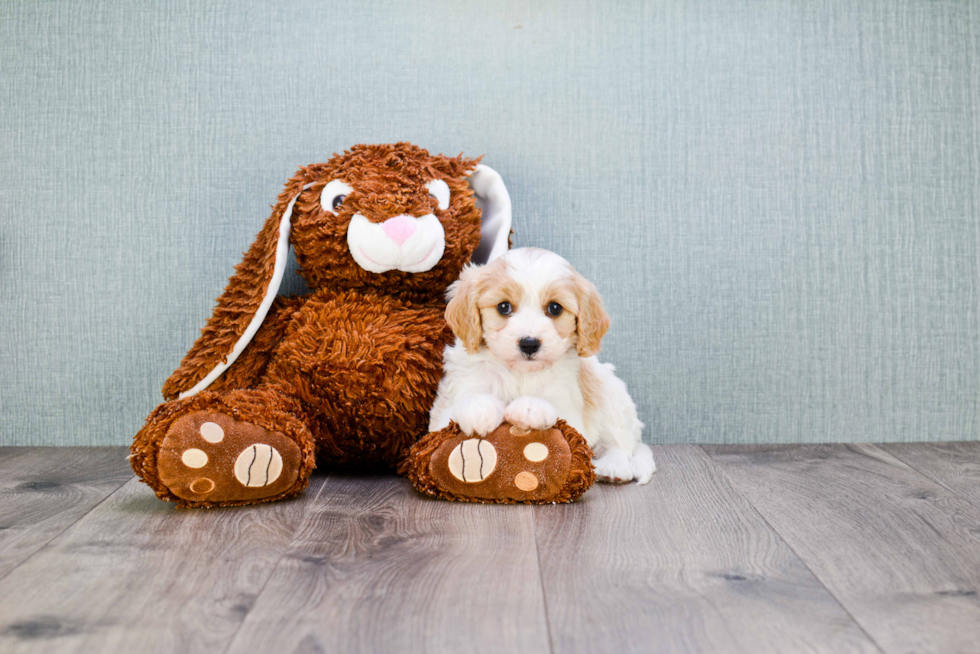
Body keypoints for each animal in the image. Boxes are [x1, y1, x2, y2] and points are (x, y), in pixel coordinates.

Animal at [430, 249, 656, 484]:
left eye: (555, 308)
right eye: (503, 307)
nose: (529, 343)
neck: (520, 373)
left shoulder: (570, 409)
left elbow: (556, 412)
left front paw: (530, 407)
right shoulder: (445, 410)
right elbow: (455, 410)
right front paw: (479, 407)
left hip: (610, 394)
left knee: (619, 444)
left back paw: (613, 468)